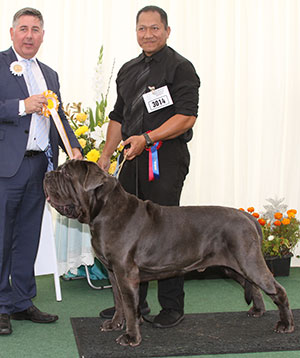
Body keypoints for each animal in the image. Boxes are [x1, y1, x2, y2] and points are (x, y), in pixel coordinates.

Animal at [43, 160, 294, 346]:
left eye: (66, 174)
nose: (47, 174)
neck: (103, 209)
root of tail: (247, 216)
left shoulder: (125, 273)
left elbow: (129, 306)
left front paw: (131, 337)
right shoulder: (113, 273)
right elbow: (119, 302)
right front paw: (115, 324)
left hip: (249, 261)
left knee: (277, 290)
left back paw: (286, 324)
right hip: (235, 267)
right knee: (254, 287)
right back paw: (258, 311)